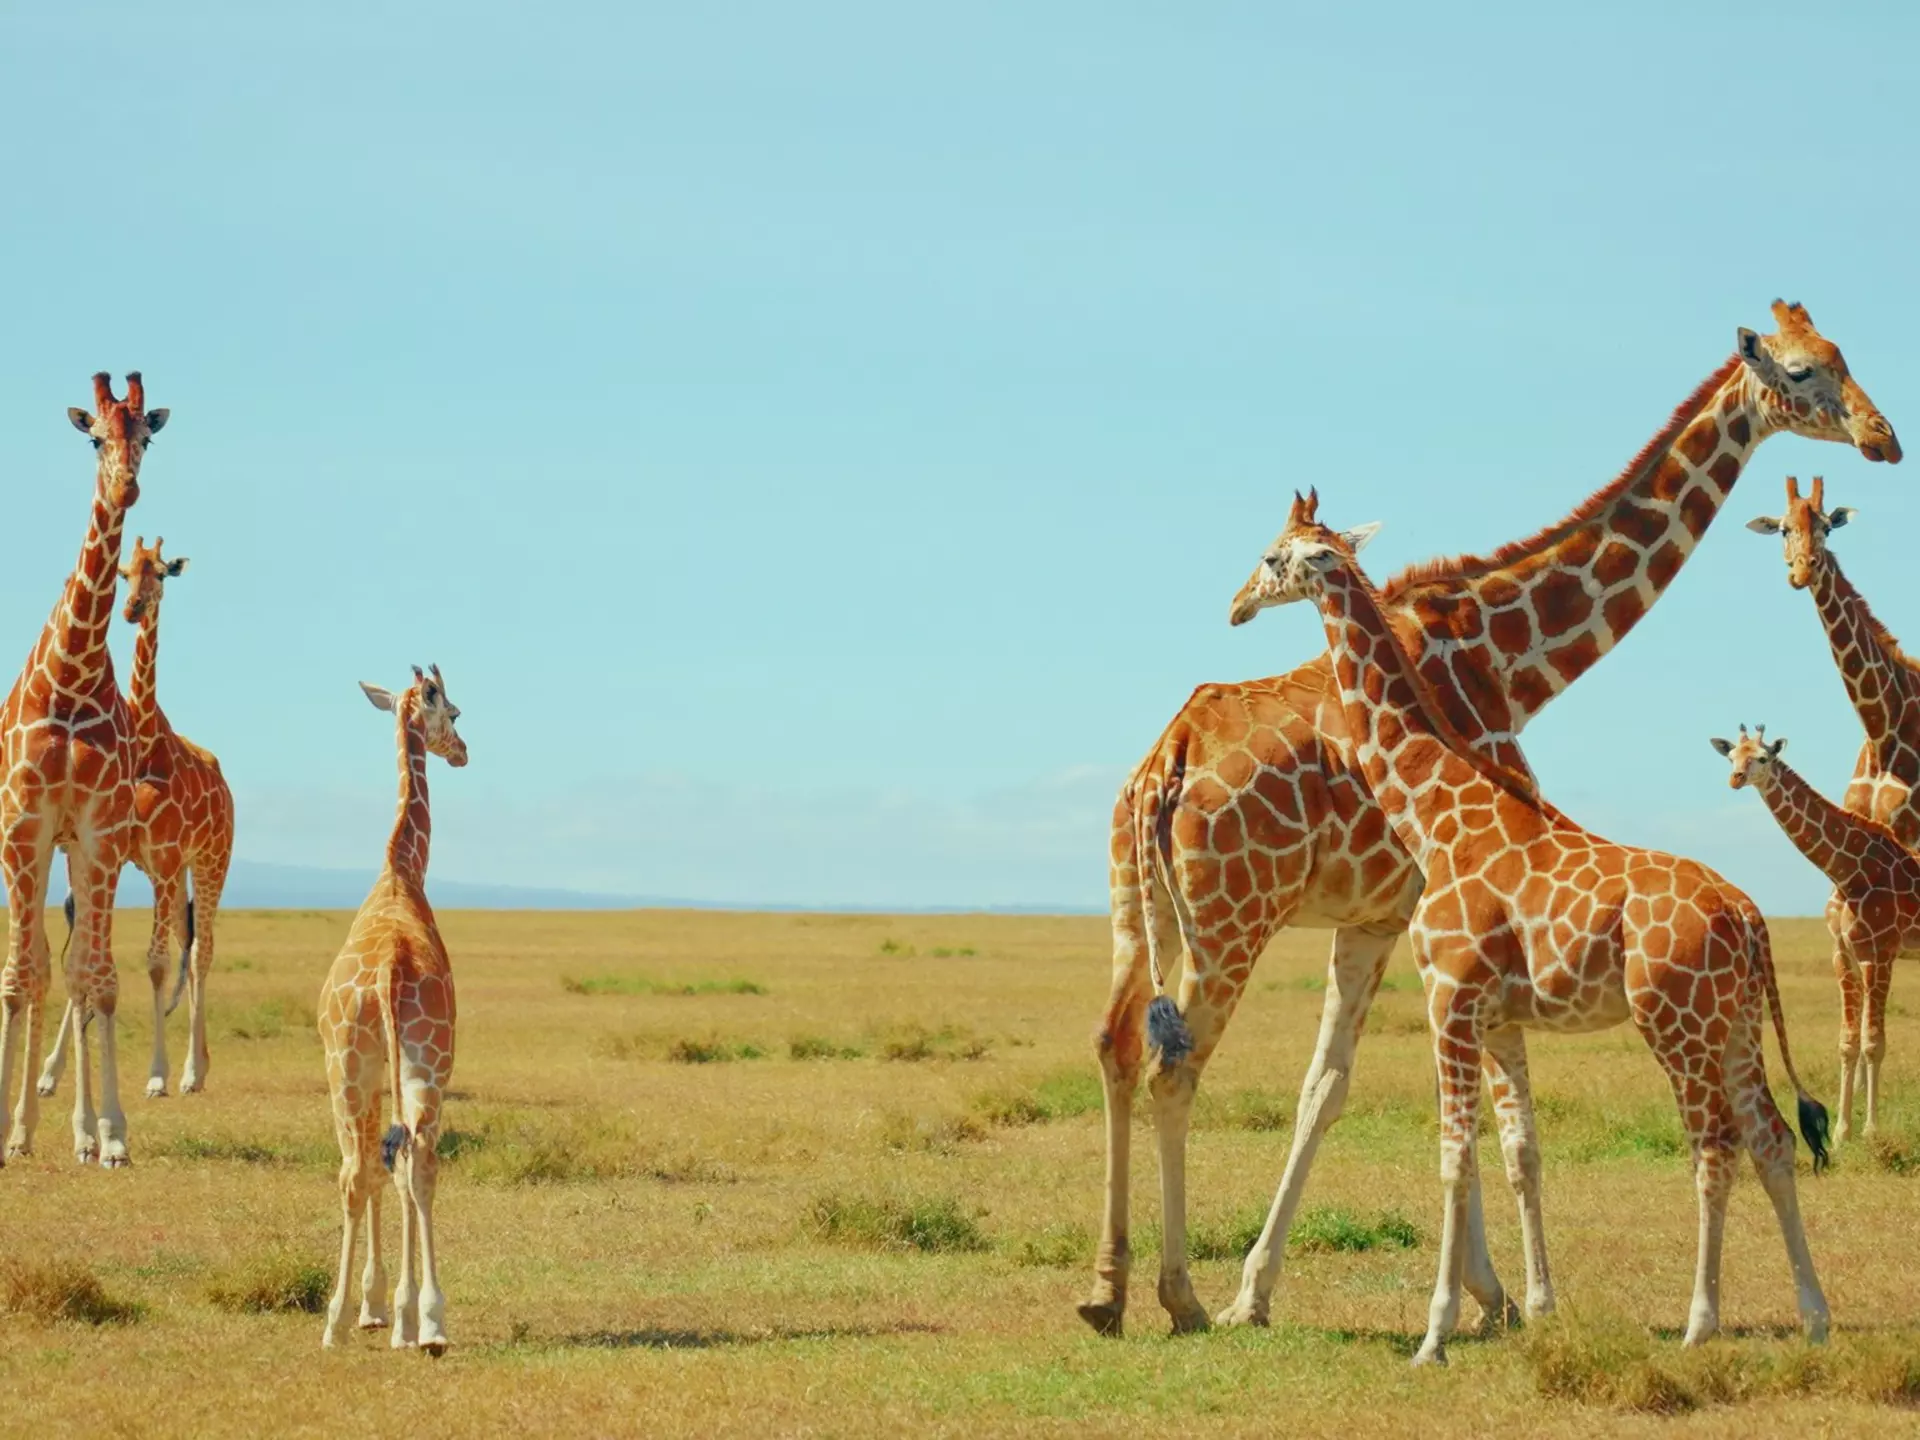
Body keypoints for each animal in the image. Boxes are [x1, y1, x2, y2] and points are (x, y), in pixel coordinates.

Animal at [36, 537, 234, 1102]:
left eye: (162, 573)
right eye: (125, 573)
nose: (132, 609)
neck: (147, 747)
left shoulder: (164, 859)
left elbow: (155, 961)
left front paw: (158, 1075)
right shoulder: (116, 856)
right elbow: (83, 953)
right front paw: (50, 1073)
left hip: (210, 861)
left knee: (202, 948)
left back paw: (193, 1072)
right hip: (173, 871)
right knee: (186, 940)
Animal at [1231, 490, 1830, 1363]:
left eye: (1275, 557)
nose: (1237, 604)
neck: (1435, 815)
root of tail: (1748, 917)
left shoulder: (1450, 998)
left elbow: (1453, 1159)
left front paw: (1435, 1335)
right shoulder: (1498, 1015)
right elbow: (1511, 1152)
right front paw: (1522, 1309)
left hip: (1674, 1019)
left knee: (1712, 1145)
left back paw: (1700, 1322)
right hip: (1737, 1023)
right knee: (1772, 1137)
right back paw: (1815, 1314)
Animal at [1746, 475, 1920, 1138]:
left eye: (1825, 525)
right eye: (1782, 528)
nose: (1803, 571)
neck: (1886, 727)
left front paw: (1865, 1127)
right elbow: (1857, 1033)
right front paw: (1850, 1127)